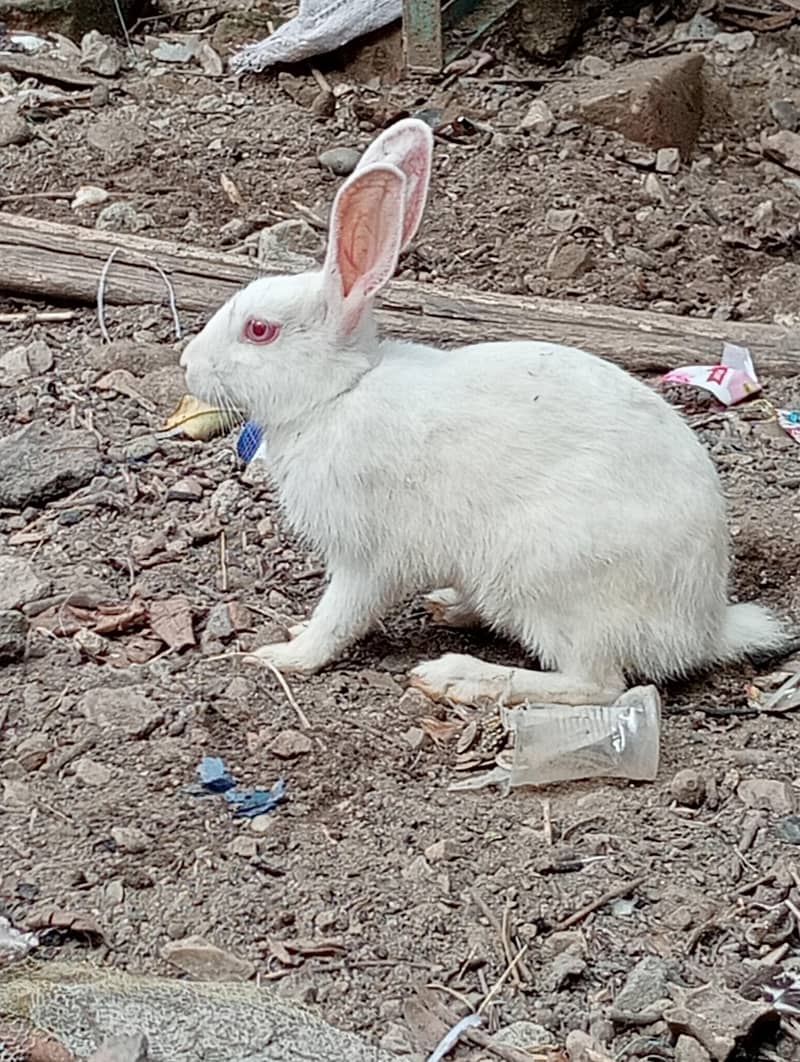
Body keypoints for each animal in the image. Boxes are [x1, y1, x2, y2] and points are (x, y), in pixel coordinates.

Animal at [180, 118, 793, 707]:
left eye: (260, 330)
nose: (187, 364)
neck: (340, 391)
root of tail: (702, 629)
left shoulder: (366, 558)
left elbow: (340, 615)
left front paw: (282, 656)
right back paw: (449, 607)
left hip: (548, 577)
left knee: (596, 683)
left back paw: (456, 677)